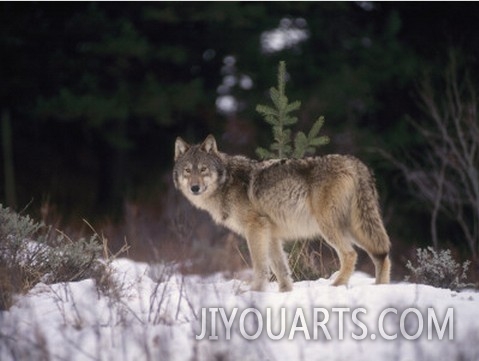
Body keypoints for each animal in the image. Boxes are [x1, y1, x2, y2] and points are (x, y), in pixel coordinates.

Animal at [174, 134, 392, 292]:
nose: (194, 188)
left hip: (330, 228)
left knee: (351, 254)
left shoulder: (256, 229)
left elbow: (260, 266)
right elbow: (281, 269)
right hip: (354, 227)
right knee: (381, 255)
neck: (227, 182)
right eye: (187, 170)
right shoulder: (271, 234)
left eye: (203, 169)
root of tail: (354, 162)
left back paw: (337, 286)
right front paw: (285, 292)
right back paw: (380, 288)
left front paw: (254, 291)